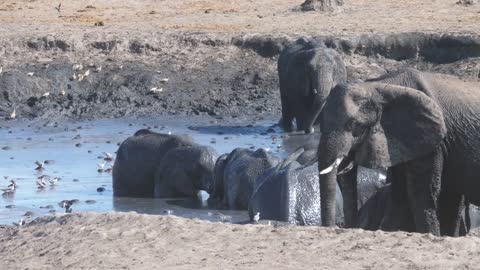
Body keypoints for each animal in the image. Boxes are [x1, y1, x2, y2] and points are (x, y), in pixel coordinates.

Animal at [316, 68, 480, 236]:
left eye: (356, 125)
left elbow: (422, 192)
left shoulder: (432, 140)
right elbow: (399, 193)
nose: (339, 227)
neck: (379, 86)